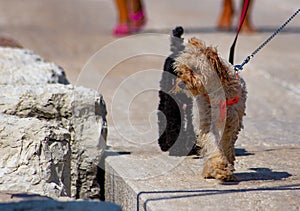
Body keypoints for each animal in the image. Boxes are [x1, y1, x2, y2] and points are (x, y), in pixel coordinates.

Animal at [173, 36, 246, 181]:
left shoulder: (231, 123)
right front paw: (219, 167)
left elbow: (226, 144)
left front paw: (226, 168)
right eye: (182, 68)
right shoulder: (207, 123)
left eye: (195, 68)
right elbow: (212, 145)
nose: (181, 83)